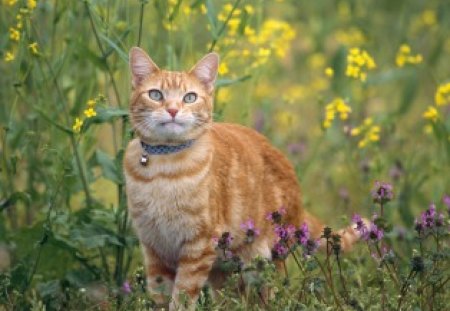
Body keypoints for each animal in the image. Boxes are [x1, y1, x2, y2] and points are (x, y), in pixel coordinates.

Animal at [123, 47, 358, 310]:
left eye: (189, 98)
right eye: (155, 94)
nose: (173, 110)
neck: (164, 169)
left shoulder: (198, 246)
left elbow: (182, 296)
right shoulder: (154, 247)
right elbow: (160, 294)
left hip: (265, 260)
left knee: (272, 293)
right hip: (225, 269)